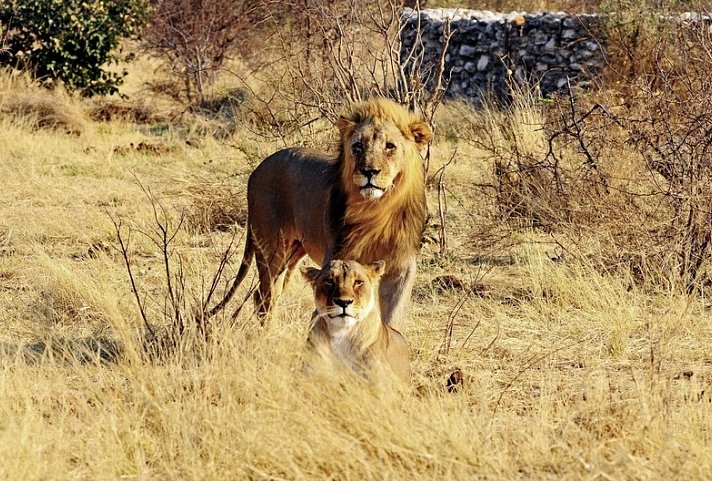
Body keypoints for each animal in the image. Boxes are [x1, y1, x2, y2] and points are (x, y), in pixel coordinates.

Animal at [209, 97, 432, 330]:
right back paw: (268, 334)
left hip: (293, 251)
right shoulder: (337, 261)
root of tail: (257, 170)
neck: (377, 209)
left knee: (267, 294)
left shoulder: (401, 268)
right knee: (264, 296)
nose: (369, 172)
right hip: (272, 249)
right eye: (358, 146)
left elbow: (392, 318)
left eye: (390, 146)